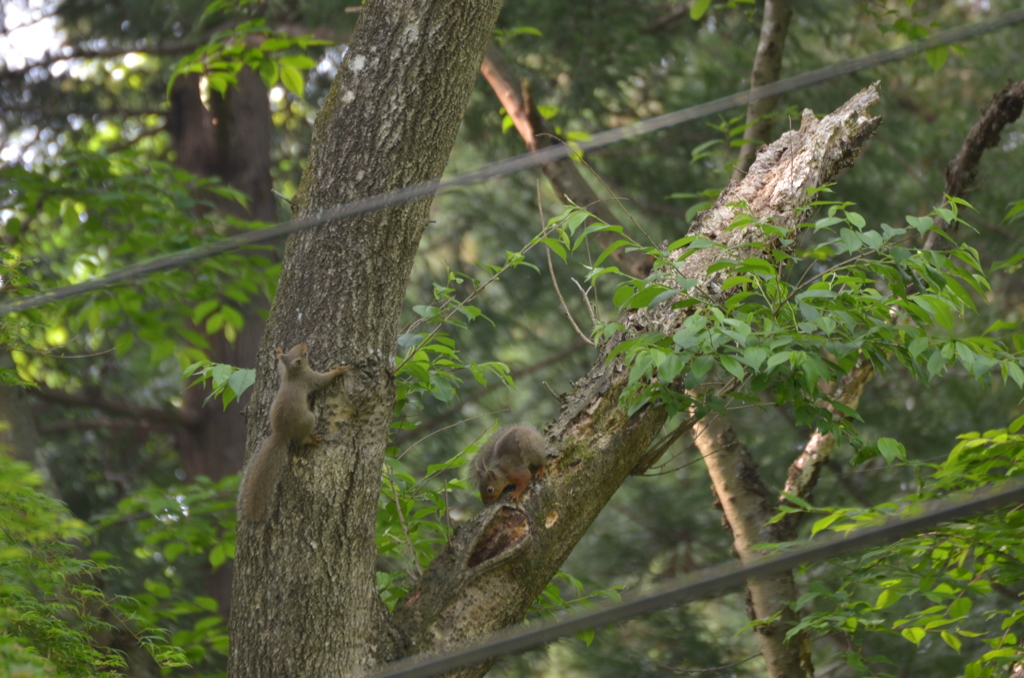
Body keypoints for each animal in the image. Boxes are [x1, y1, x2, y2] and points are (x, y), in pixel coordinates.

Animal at [235, 346, 348, 524]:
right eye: (305, 354)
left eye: (295, 348)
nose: (305, 344)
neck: (293, 372)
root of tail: (281, 434)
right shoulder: (310, 377)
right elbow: (322, 380)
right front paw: (337, 371)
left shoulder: (284, 373)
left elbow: (279, 368)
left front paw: (279, 352)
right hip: (308, 420)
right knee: (300, 440)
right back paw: (310, 439)